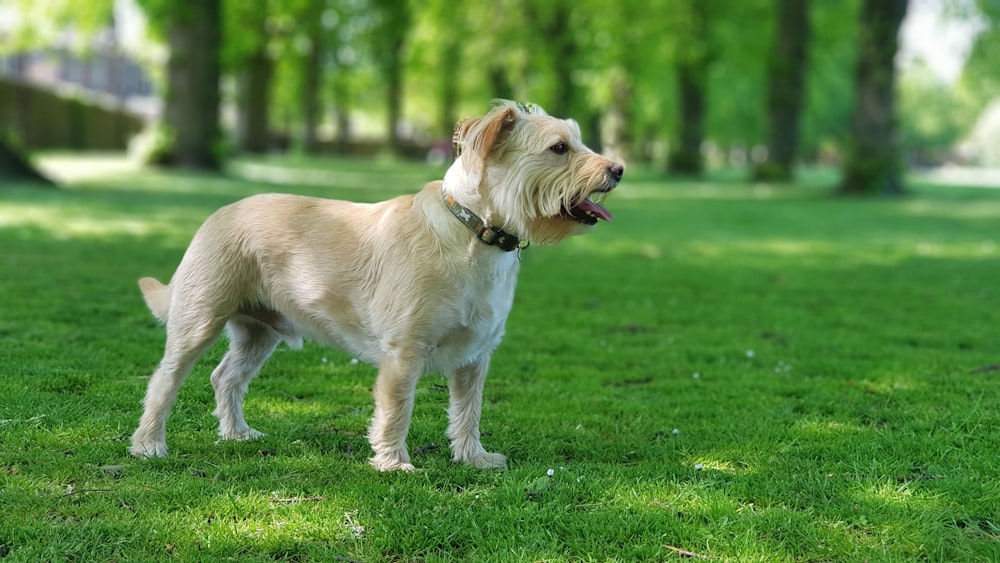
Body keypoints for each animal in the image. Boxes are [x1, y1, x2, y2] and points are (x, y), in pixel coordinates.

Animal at [129, 100, 620, 472]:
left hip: (259, 333)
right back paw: (149, 443)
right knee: (164, 381)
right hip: (198, 321)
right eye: (559, 147)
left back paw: (236, 434)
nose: (617, 168)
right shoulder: (404, 352)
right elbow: (396, 409)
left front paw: (473, 457)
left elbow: (468, 411)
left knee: (225, 377)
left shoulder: (475, 356)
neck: (471, 231)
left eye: (578, 140)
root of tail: (217, 215)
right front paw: (392, 462)